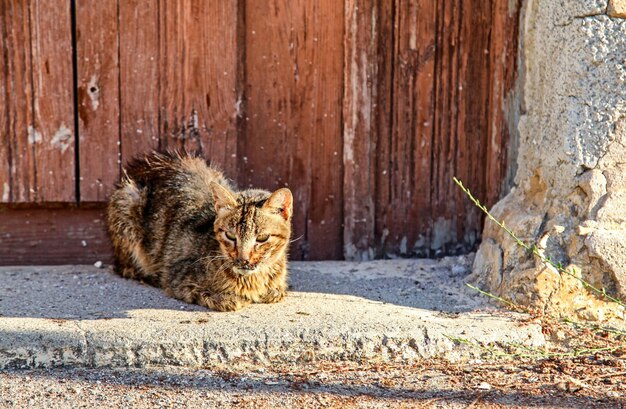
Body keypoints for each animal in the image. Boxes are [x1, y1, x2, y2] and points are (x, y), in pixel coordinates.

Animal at [105, 151, 292, 310]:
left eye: (262, 238)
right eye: (230, 236)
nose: (243, 260)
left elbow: (278, 291)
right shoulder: (176, 277)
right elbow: (204, 293)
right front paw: (227, 298)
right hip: (128, 203)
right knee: (127, 268)